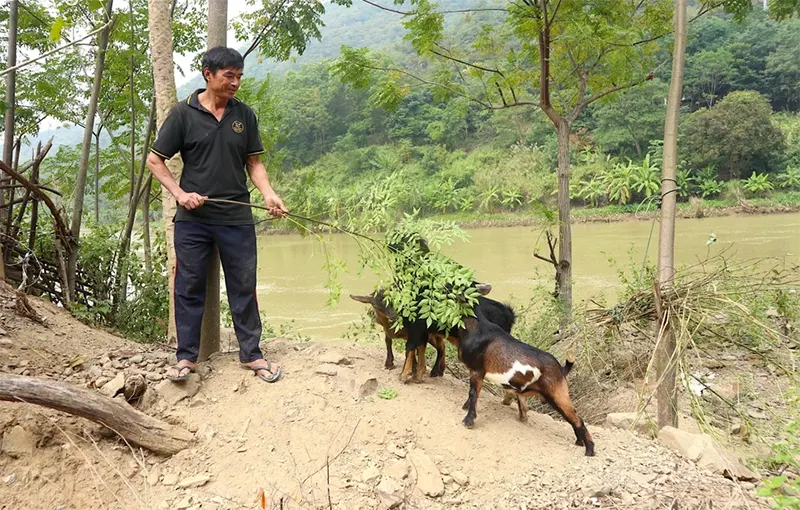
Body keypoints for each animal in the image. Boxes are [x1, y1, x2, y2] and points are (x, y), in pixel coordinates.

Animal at [456, 298, 592, 454]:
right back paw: (579, 442)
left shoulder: (477, 370)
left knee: (577, 419)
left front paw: (468, 421)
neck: (477, 327)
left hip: (558, 394)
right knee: (572, 417)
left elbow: (473, 394)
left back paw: (590, 451)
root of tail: (561, 369)